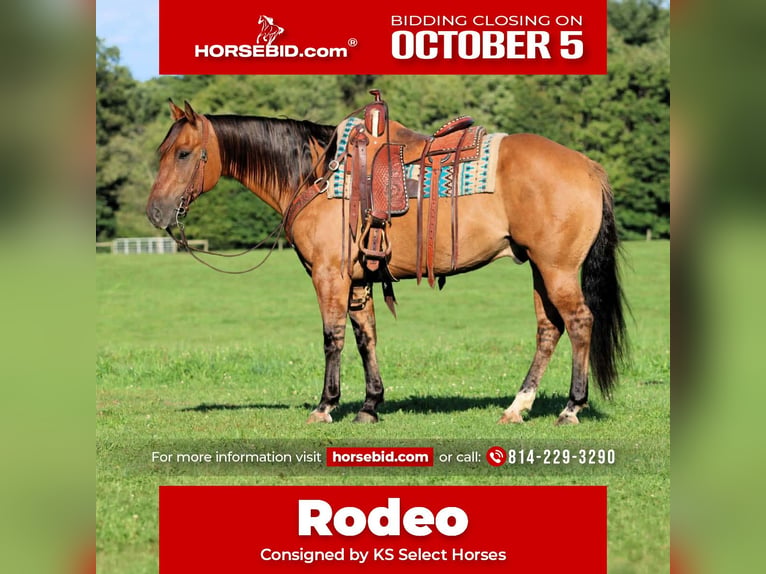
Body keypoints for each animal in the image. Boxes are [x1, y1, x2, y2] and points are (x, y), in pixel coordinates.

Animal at [146, 99, 629, 426]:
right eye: (162, 153)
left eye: (184, 153)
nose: (155, 213)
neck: (316, 175)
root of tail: (588, 166)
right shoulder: (359, 280)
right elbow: (366, 338)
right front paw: (370, 405)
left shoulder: (330, 276)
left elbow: (333, 338)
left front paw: (325, 405)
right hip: (538, 268)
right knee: (549, 329)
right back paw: (517, 406)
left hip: (557, 269)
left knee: (579, 323)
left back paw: (571, 407)